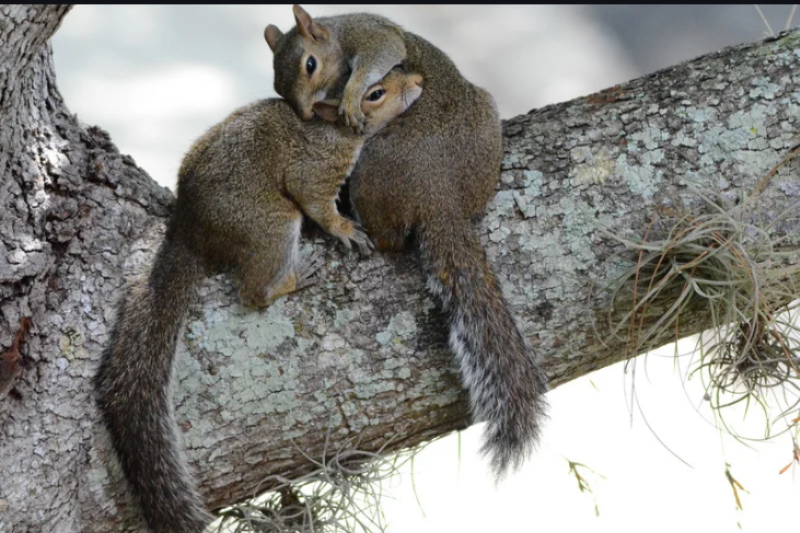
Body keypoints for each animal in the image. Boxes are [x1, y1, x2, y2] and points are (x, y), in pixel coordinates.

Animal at [93, 68, 423, 533]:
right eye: (375, 93)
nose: (419, 80)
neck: (334, 133)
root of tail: (190, 232)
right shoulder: (315, 171)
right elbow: (318, 204)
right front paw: (344, 229)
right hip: (271, 223)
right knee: (253, 291)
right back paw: (291, 280)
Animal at [265, 4, 406, 131]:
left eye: (310, 65)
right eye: (277, 90)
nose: (307, 115)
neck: (339, 37)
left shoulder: (368, 35)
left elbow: (385, 49)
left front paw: (350, 101)